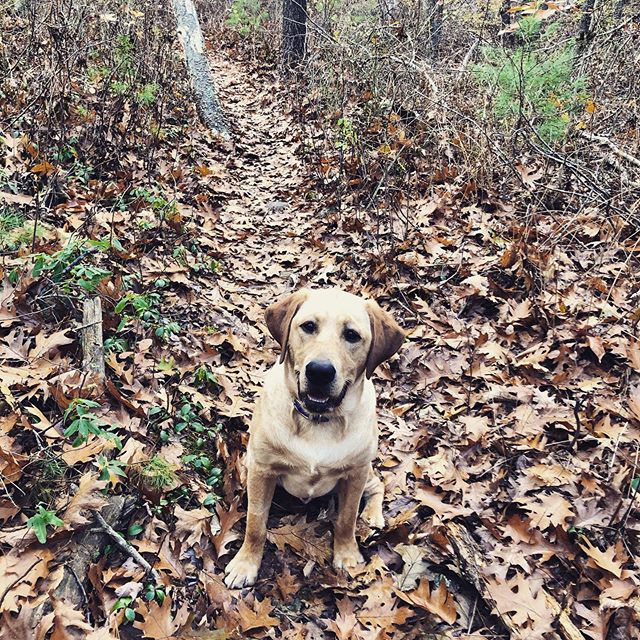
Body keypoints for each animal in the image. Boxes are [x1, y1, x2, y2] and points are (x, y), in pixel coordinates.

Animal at [226, 288, 404, 588]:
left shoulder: (355, 473)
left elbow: (347, 518)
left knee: (378, 484)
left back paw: (373, 514)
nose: (320, 371)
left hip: (365, 469)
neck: (317, 420)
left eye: (352, 335)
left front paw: (347, 554)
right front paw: (245, 564)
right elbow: (255, 522)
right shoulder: (262, 469)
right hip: (250, 462)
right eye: (308, 326)